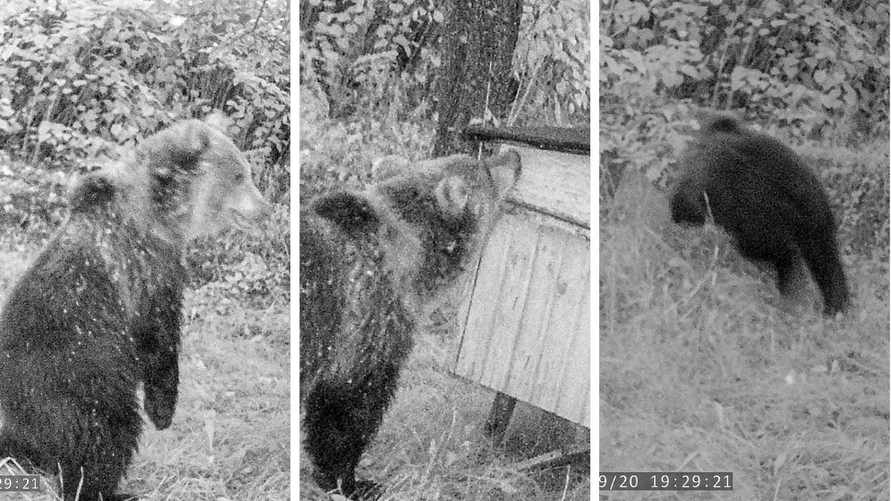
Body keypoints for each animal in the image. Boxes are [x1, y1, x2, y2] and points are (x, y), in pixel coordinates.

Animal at [0, 114, 270, 501]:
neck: (163, 211)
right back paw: (109, 490)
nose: (265, 209)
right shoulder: (146, 268)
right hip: (74, 388)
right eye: (239, 175)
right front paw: (163, 411)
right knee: (105, 438)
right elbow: (160, 336)